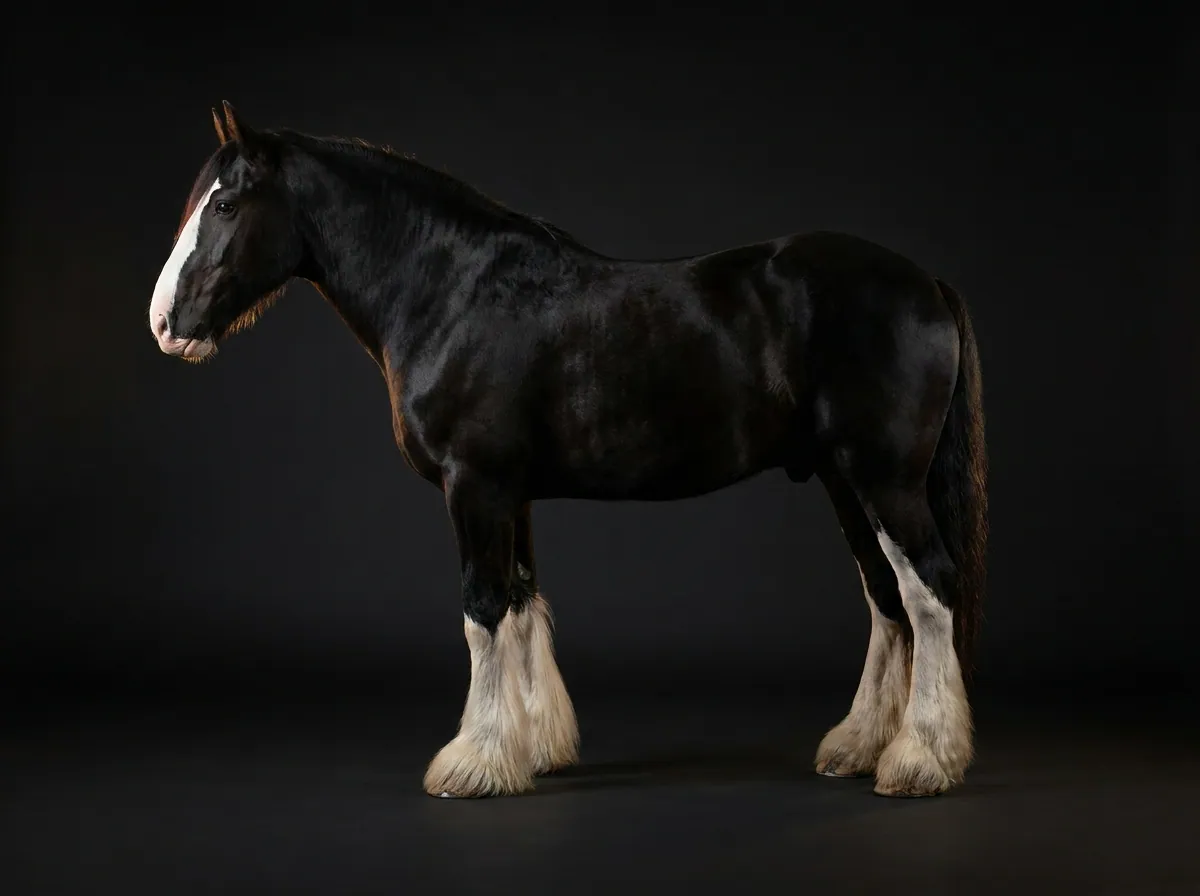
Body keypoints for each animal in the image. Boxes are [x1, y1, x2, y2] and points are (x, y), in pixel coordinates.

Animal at [148, 101, 988, 800]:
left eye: (225, 204)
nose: (163, 323)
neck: (453, 292)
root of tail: (926, 283)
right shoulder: (510, 490)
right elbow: (521, 602)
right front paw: (532, 747)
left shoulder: (475, 483)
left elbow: (482, 609)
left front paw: (474, 761)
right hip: (844, 481)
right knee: (885, 598)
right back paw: (859, 746)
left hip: (886, 480)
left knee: (928, 591)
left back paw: (920, 759)